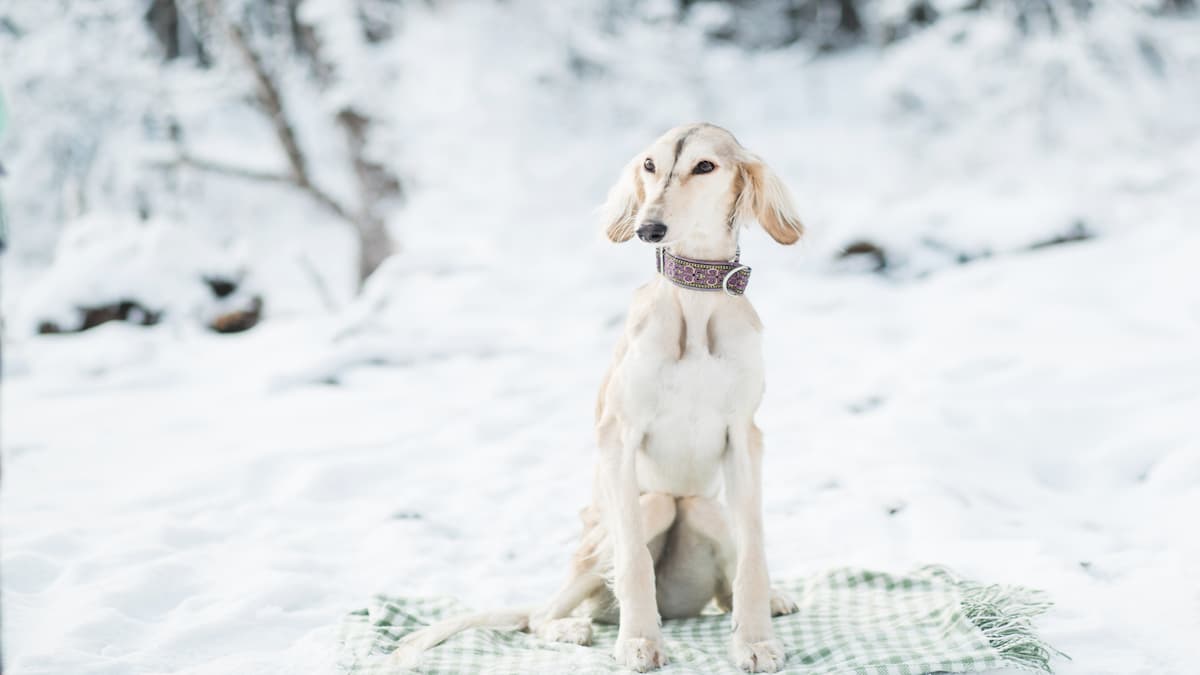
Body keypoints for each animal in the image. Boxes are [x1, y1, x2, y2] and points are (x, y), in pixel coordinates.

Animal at [396, 123, 806, 667]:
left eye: (705, 166)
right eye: (650, 165)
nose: (649, 228)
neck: (695, 306)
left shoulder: (744, 435)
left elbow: (754, 553)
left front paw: (756, 640)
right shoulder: (619, 435)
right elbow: (632, 559)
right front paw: (638, 639)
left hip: (707, 511)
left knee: (721, 583)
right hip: (631, 521)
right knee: (540, 615)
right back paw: (570, 626)